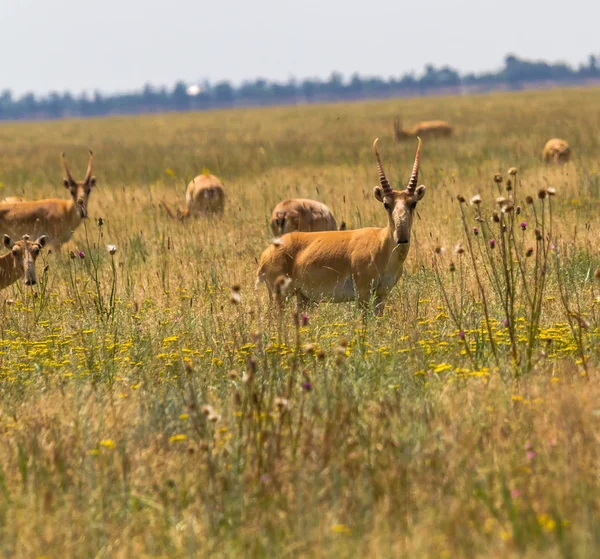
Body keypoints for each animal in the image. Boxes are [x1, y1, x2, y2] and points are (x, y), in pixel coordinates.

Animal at [258, 135, 426, 310]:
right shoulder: (363, 295)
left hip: (302, 298)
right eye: (386, 204)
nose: (402, 238)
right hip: (280, 297)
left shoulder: (381, 296)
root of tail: (267, 252)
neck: (381, 242)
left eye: (413, 202)